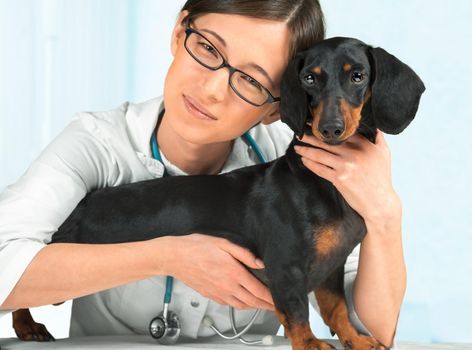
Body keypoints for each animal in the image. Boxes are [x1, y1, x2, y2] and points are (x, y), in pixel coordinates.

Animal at [12, 37, 424, 348]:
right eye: (309, 78)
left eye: (358, 76)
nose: (331, 128)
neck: (324, 185)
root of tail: (82, 204)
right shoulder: (286, 266)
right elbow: (297, 313)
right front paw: (310, 343)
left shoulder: (333, 269)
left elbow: (338, 308)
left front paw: (358, 339)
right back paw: (26, 326)